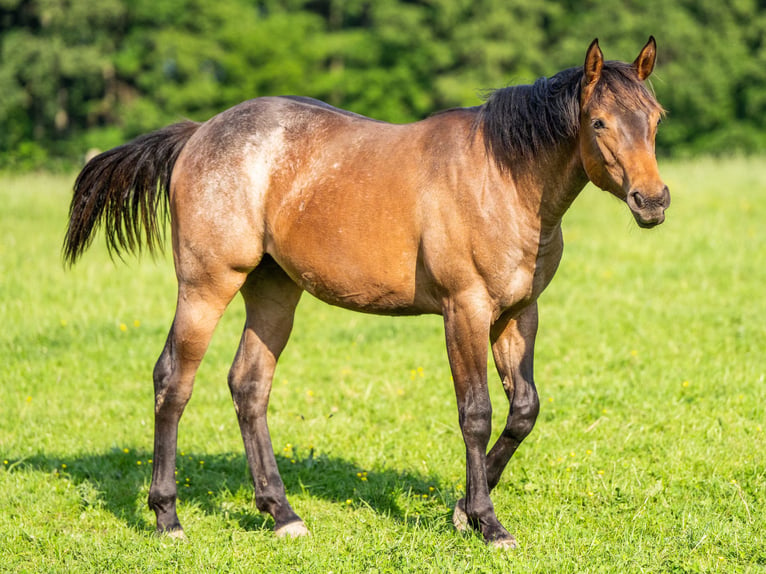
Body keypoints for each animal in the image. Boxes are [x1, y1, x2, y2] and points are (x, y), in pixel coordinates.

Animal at [63, 38, 668, 552]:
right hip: (207, 285)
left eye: (656, 118)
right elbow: (475, 412)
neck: (502, 180)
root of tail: (199, 133)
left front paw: (461, 511)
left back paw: (282, 513)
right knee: (173, 381)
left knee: (249, 385)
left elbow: (523, 411)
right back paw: (167, 517)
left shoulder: (519, 314)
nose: (653, 200)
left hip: (274, 291)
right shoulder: (465, 310)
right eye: (599, 121)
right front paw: (486, 523)